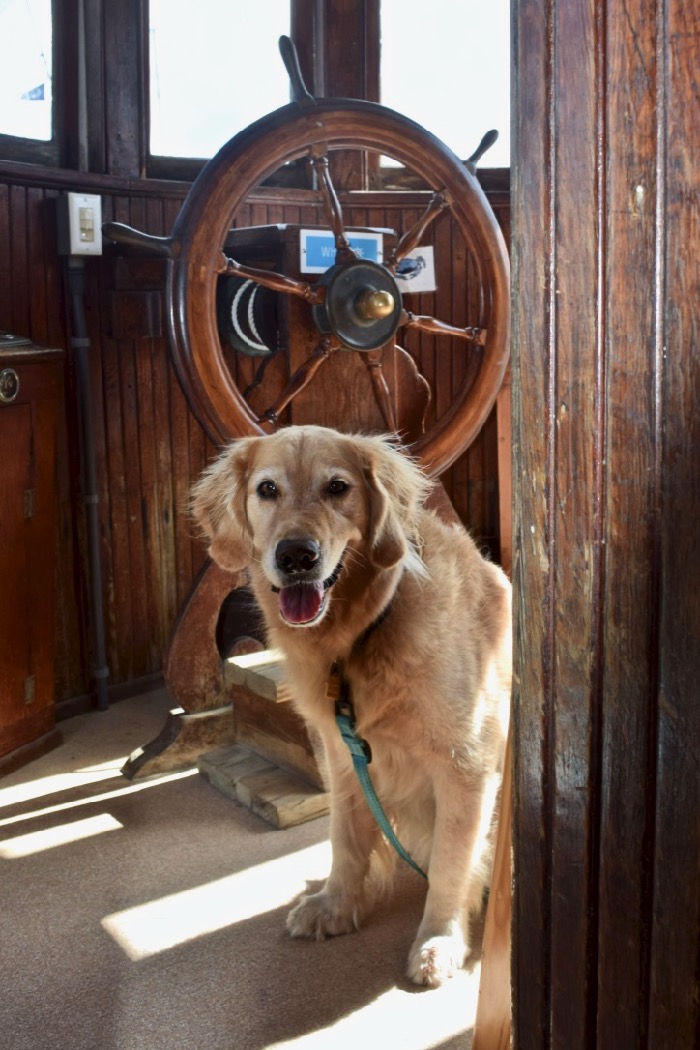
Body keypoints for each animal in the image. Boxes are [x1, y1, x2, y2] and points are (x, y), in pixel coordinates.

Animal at [192, 424, 510, 982]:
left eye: (337, 488)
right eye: (267, 490)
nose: (296, 556)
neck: (360, 636)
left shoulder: (466, 766)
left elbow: (451, 863)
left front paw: (439, 939)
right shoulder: (344, 758)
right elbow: (345, 841)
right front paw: (336, 904)